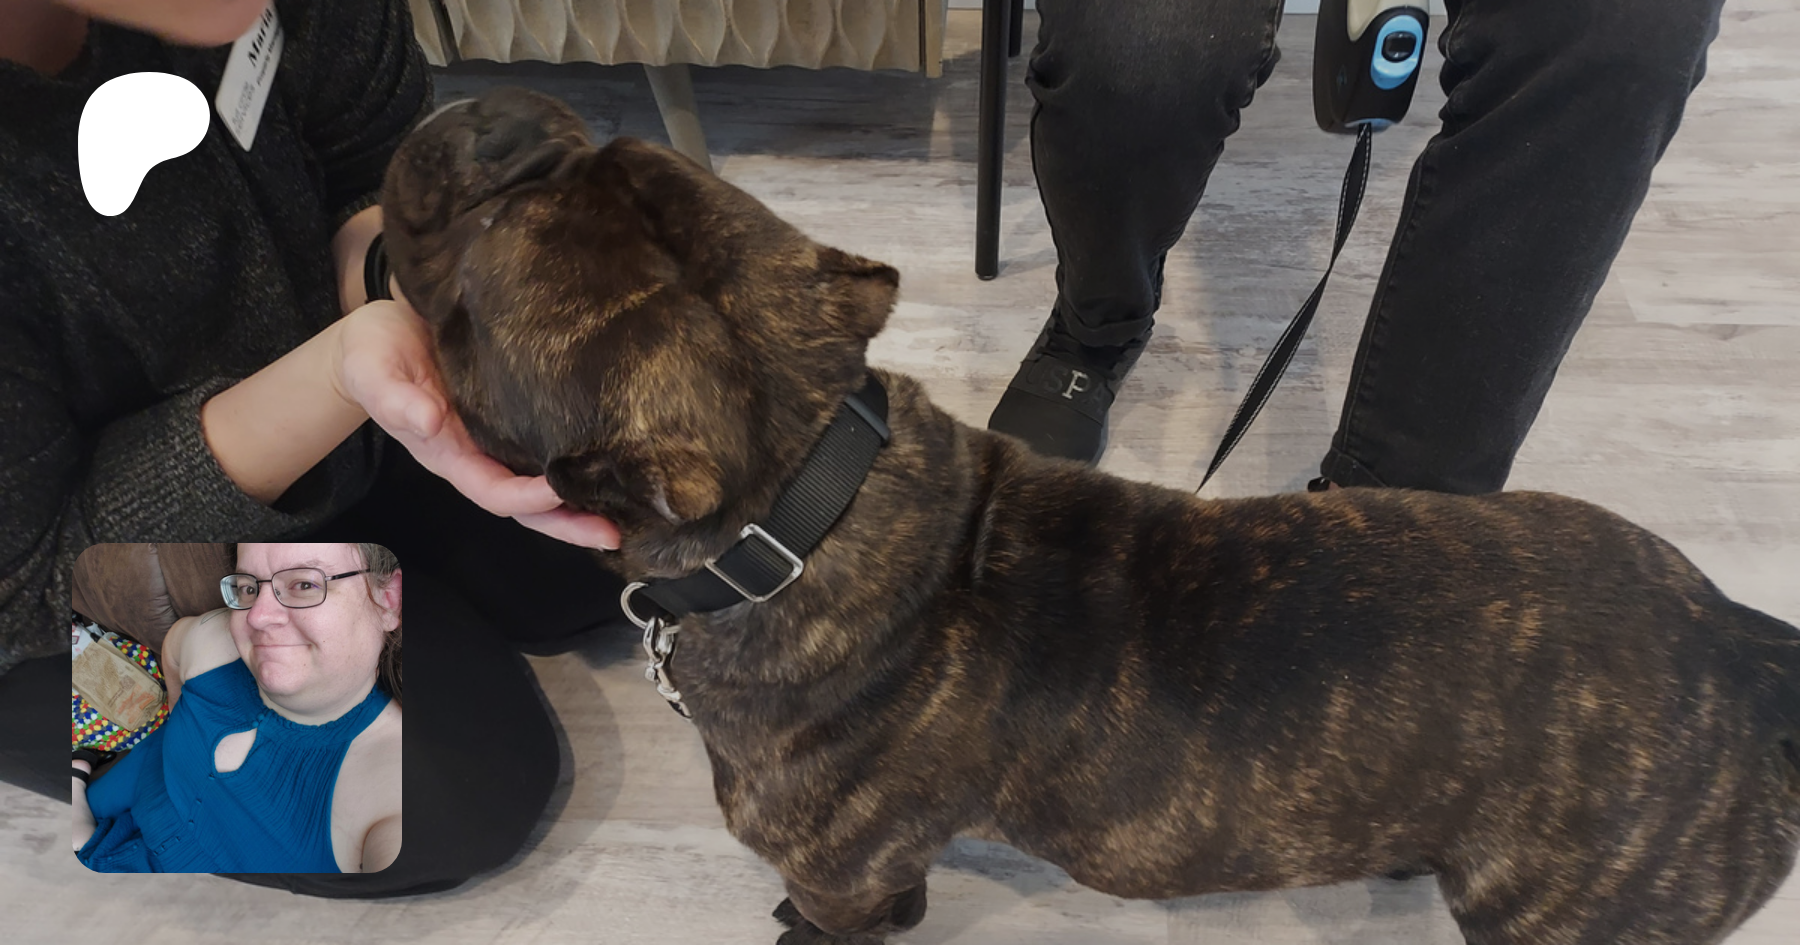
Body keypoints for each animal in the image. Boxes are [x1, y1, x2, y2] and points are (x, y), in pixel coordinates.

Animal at [381, 88, 1800, 944]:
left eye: (475, 271)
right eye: (597, 147)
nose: (493, 107)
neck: (805, 506)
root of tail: (1737, 641)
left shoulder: (841, 878)